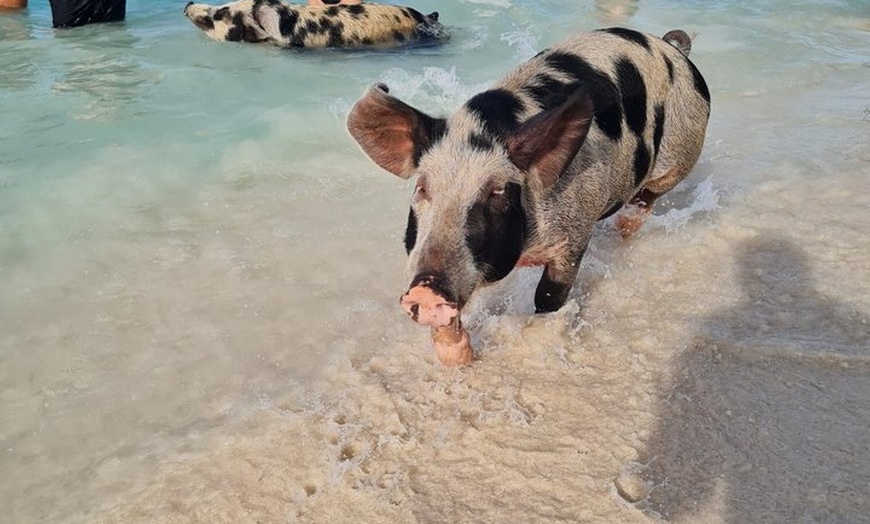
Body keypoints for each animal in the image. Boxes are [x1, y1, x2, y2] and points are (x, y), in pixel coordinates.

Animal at [347, 28, 710, 364]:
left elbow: (549, 295)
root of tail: (671, 48)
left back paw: (624, 230)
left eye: (497, 192)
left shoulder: (572, 236)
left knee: (646, 199)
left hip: (681, 153)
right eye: (423, 187)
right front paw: (461, 360)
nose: (426, 288)